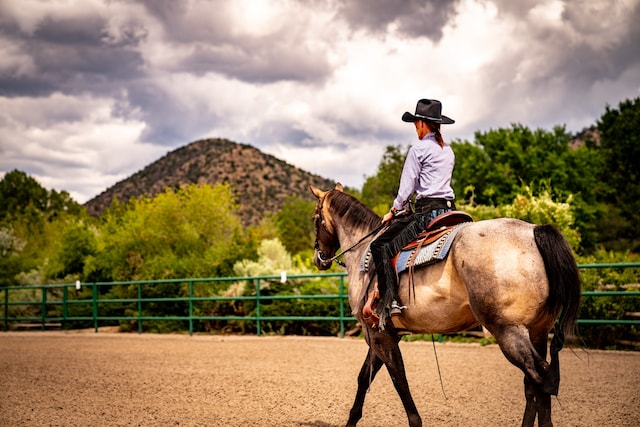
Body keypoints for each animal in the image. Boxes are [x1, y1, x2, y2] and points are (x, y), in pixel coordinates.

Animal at [310, 184, 580, 427]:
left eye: (315, 219)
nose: (318, 259)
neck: (364, 254)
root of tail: (534, 230)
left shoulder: (379, 338)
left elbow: (400, 381)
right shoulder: (381, 333)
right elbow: (364, 378)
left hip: (509, 332)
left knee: (540, 379)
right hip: (537, 331)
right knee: (536, 385)